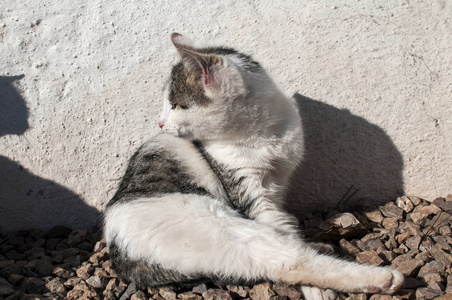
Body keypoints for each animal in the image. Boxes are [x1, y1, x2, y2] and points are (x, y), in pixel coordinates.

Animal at [104, 31, 404, 298]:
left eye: (177, 105)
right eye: (169, 105)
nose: (160, 123)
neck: (259, 135)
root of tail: (120, 258)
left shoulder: (278, 185)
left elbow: (286, 225)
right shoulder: (249, 191)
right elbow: (283, 233)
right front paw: (317, 290)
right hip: (219, 225)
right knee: (290, 261)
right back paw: (380, 279)